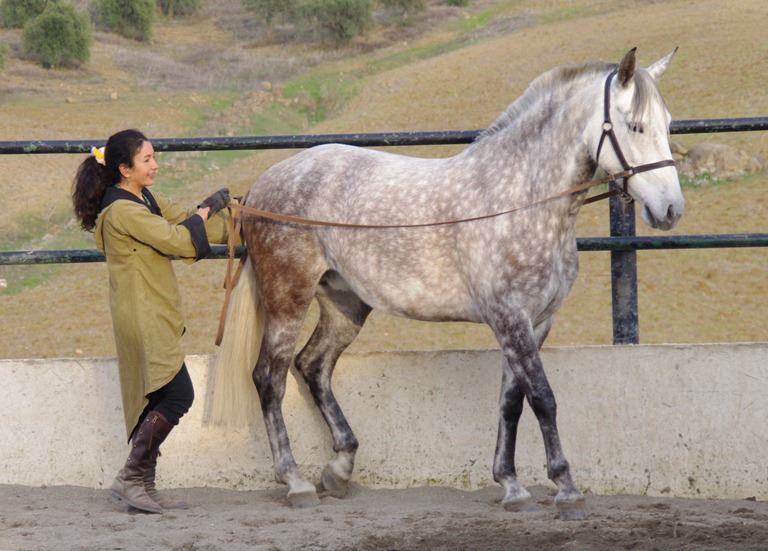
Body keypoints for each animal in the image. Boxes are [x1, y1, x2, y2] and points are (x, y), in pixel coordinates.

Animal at [210, 47, 683, 519]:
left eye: (667, 124)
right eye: (635, 125)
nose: (670, 209)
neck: (520, 199)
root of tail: (260, 188)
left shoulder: (535, 321)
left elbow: (511, 402)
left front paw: (511, 485)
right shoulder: (509, 317)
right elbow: (542, 398)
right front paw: (565, 488)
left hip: (345, 303)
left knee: (313, 365)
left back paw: (339, 468)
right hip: (288, 299)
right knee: (269, 378)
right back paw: (295, 481)